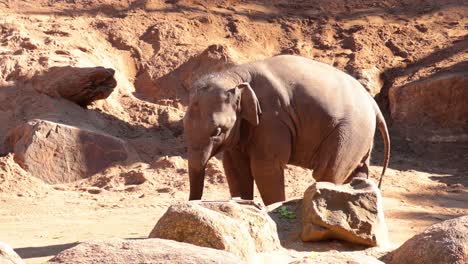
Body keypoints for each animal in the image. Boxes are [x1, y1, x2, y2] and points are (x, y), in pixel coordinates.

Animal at [185, 54, 390, 205]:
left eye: (217, 131)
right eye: (184, 128)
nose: (193, 203)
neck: (235, 75)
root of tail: (374, 104)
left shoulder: (272, 119)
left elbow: (266, 168)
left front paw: (273, 206)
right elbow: (235, 167)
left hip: (350, 133)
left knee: (327, 173)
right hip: (361, 138)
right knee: (358, 172)